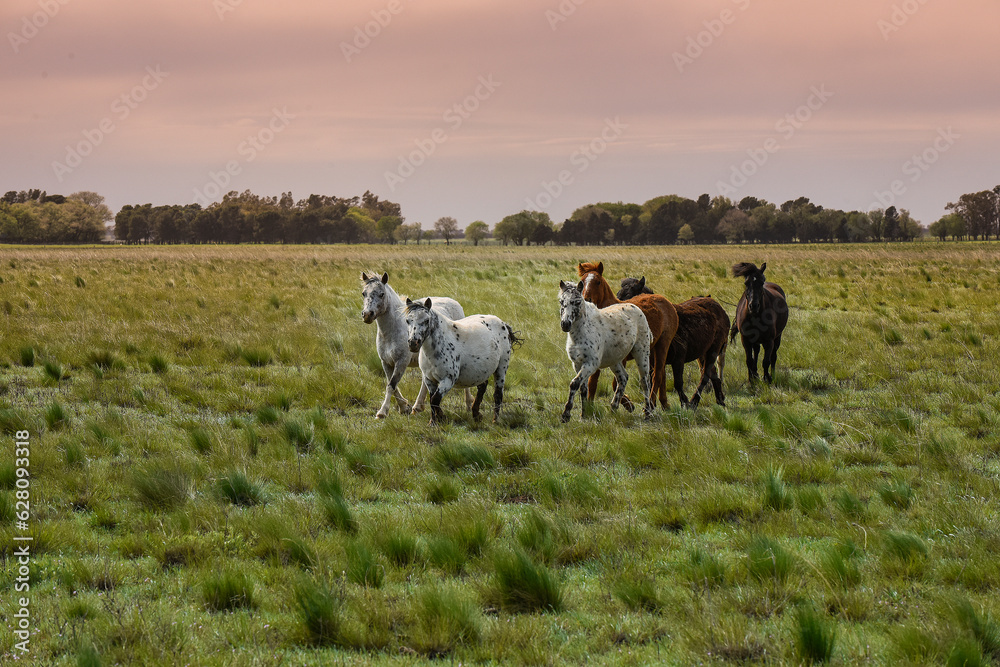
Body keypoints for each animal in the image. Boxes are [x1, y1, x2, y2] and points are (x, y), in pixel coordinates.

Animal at [360, 272, 473, 419]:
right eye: (364, 293)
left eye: (381, 294)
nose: (367, 315)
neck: (393, 330)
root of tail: (455, 303)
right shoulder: (386, 362)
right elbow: (392, 385)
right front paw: (404, 407)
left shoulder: (401, 361)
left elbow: (391, 385)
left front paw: (382, 412)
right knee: (425, 382)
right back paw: (417, 407)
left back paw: (469, 404)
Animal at [558, 280, 653, 422]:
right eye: (561, 301)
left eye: (577, 302)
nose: (565, 324)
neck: (582, 332)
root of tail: (636, 307)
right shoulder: (578, 364)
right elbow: (583, 388)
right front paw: (583, 414)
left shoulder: (591, 364)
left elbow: (574, 384)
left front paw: (566, 414)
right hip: (615, 360)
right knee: (623, 378)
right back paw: (613, 408)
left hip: (641, 353)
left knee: (645, 382)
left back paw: (647, 413)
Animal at [577, 262, 678, 410]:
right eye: (582, 282)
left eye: (598, 282)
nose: (586, 299)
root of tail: (665, 301)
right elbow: (592, 382)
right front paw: (589, 408)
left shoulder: (621, 358)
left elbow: (615, 384)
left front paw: (628, 404)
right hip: (652, 349)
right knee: (661, 375)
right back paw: (664, 403)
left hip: (662, 345)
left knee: (657, 375)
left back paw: (650, 405)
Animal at [617, 277, 729, 408]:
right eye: (618, 294)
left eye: (628, 294)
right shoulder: (654, 361)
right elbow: (655, 380)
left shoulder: (678, 359)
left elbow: (677, 383)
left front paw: (685, 402)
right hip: (703, 353)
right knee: (713, 374)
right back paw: (720, 398)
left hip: (713, 349)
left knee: (705, 375)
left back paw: (694, 401)